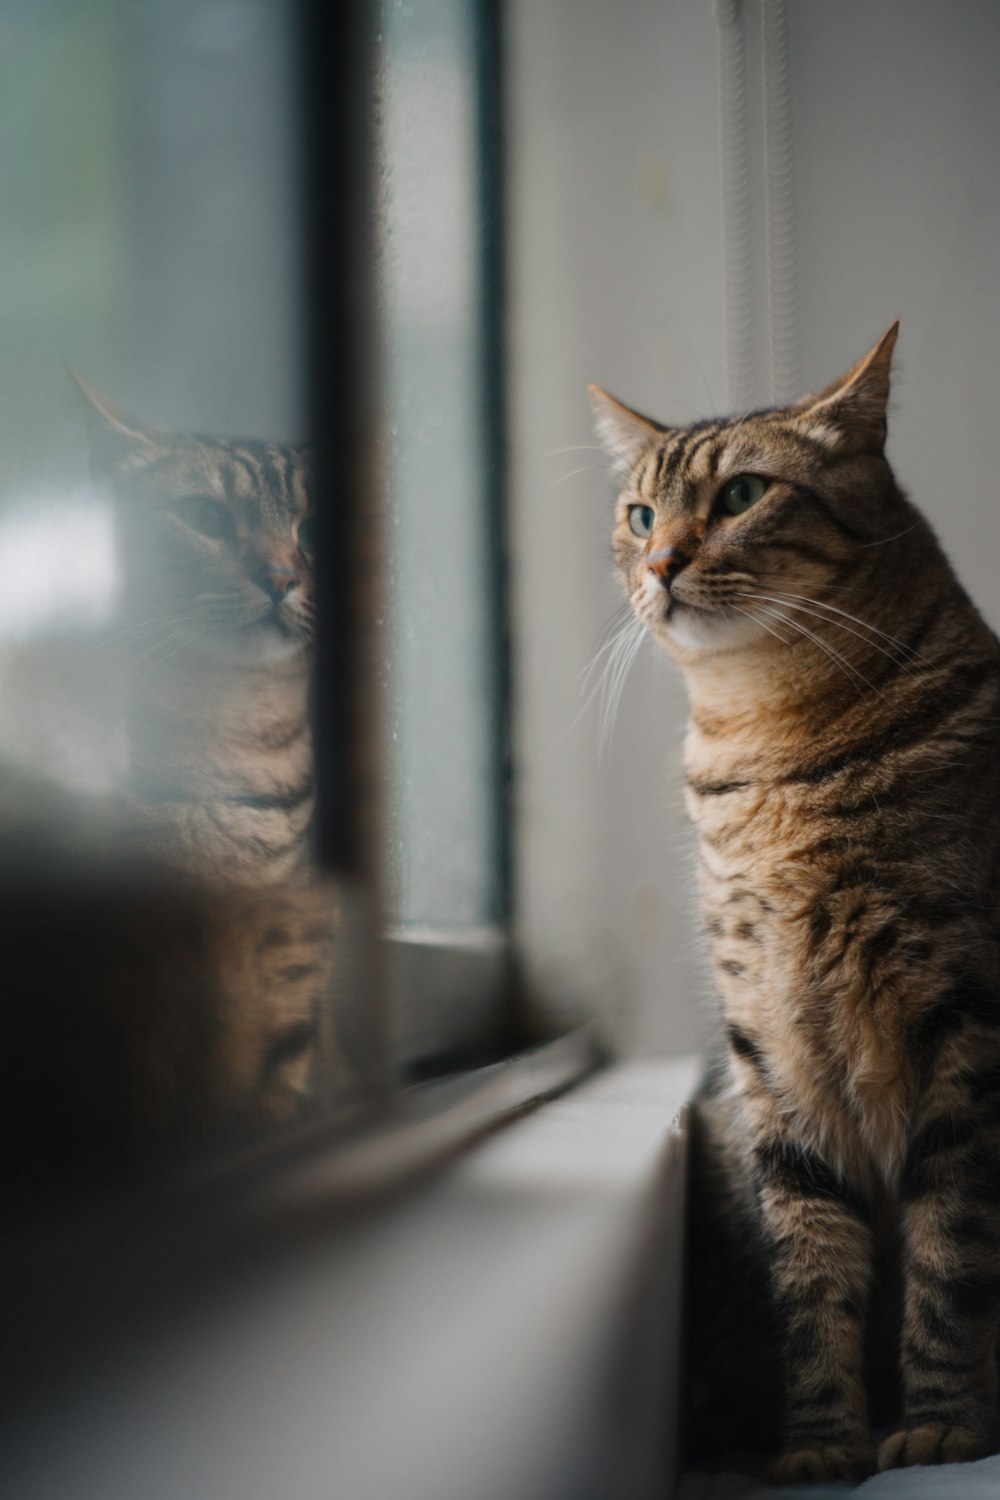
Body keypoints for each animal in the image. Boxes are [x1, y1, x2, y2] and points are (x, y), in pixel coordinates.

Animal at [590, 322, 1000, 1482]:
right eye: (640, 515)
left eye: (740, 496)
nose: (659, 564)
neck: (775, 746)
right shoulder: (769, 1046)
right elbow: (811, 1269)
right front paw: (822, 1443)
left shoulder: (966, 1025)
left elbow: (950, 1249)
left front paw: (942, 1424)